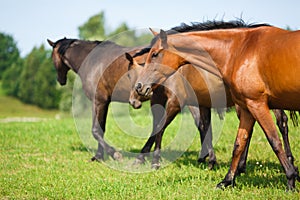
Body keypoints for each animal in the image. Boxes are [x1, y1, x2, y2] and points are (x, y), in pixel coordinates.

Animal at [47, 38, 217, 169]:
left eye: (52, 58)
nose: (60, 80)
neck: (93, 61)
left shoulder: (99, 101)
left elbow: (96, 130)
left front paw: (114, 155)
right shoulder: (104, 102)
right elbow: (101, 129)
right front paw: (99, 156)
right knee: (202, 125)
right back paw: (205, 158)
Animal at [132, 20, 298, 191]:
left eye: (155, 54)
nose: (139, 88)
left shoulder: (176, 102)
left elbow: (160, 127)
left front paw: (151, 161)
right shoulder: (206, 103)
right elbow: (209, 129)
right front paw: (213, 164)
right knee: (281, 123)